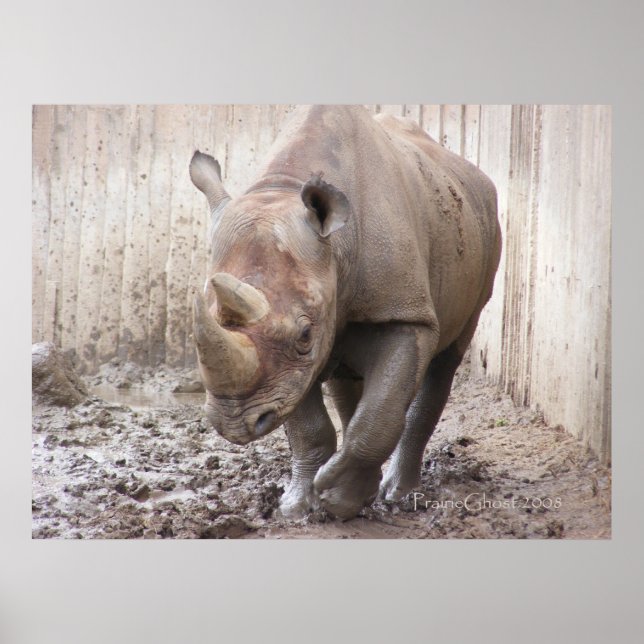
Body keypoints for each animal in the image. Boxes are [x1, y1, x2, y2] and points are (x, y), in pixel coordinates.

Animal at [189, 105, 501, 520]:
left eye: (304, 334)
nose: (235, 424)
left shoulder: (404, 316)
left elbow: (379, 416)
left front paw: (338, 500)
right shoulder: (289, 370)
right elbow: (308, 425)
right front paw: (298, 506)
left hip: (484, 235)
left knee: (445, 361)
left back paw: (398, 494)